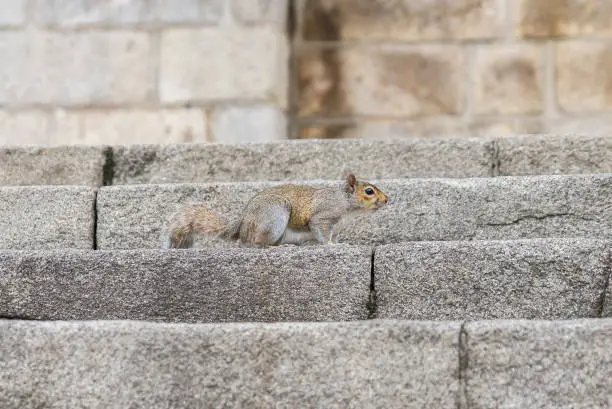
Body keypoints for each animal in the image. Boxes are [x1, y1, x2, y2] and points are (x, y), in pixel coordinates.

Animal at [163, 172, 390, 249]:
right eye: (369, 191)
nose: (387, 200)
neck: (346, 204)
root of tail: (243, 223)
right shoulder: (324, 216)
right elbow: (321, 232)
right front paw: (332, 246)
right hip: (274, 217)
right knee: (255, 243)